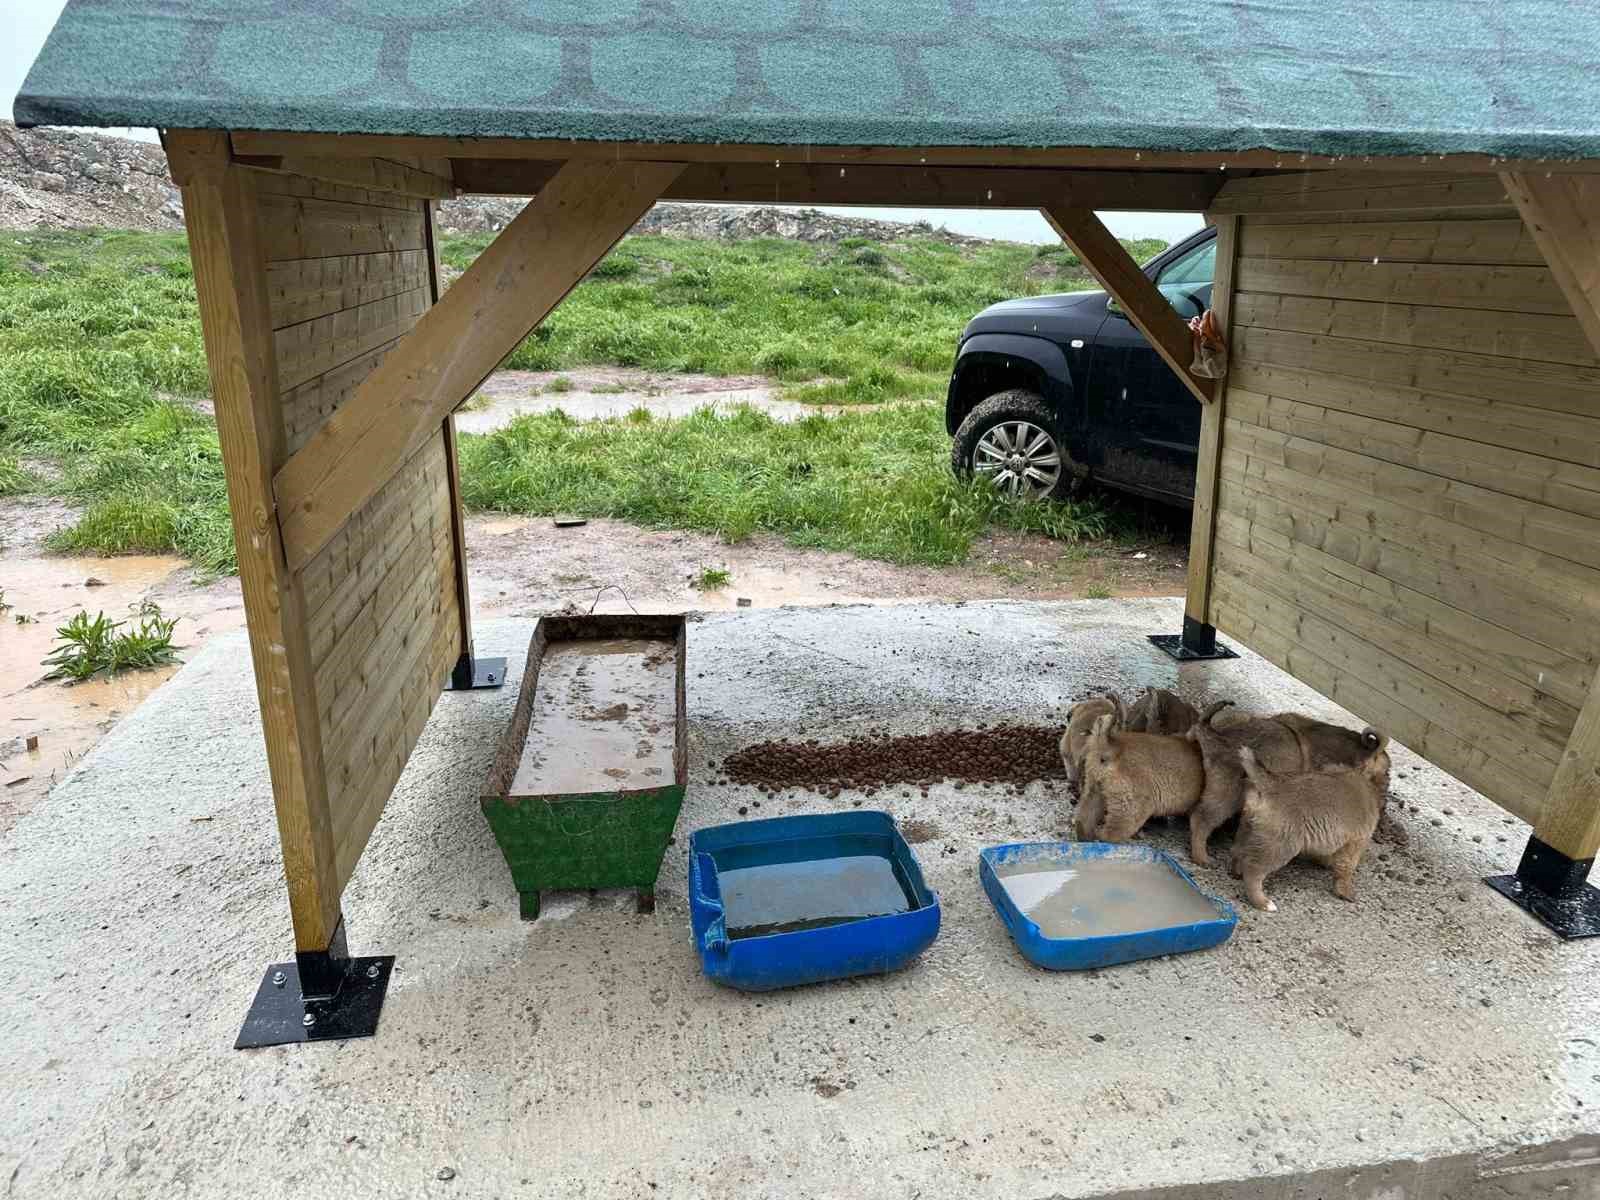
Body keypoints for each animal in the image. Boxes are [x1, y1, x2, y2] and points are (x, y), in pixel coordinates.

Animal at [1190, 704, 1388, 864]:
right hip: (1228, 793)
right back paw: (1201, 856)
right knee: (1201, 818)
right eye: (1384, 776)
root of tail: (1218, 738)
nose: (1381, 809)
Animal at [1228, 739, 1395, 915]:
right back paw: (1263, 902)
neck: (1362, 776)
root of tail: (1270, 783)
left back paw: (1236, 872)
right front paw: (1345, 891)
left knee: (1237, 851)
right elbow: (1345, 868)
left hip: (1247, 828)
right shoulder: (1355, 843)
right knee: (1253, 871)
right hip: (1280, 846)